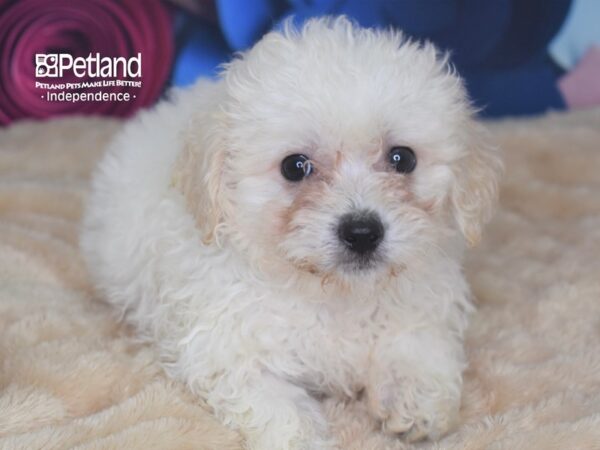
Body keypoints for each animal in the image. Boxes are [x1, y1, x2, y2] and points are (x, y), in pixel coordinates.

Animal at [79, 15, 502, 448]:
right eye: (294, 167)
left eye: (403, 159)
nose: (362, 231)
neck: (334, 294)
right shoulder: (227, 347)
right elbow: (276, 401)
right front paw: (302, 436)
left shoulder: (421, 304)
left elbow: (417, 346)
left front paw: (413, 402)